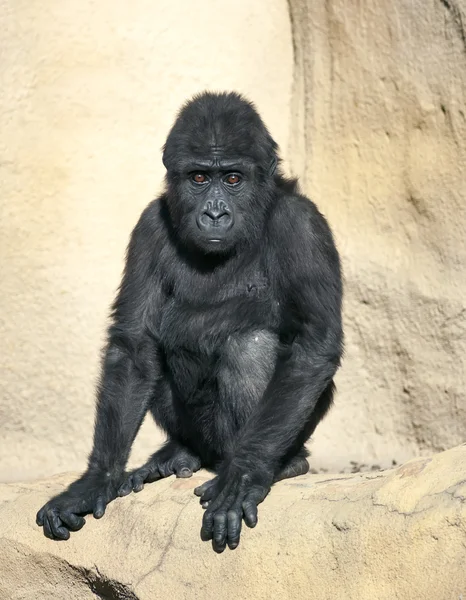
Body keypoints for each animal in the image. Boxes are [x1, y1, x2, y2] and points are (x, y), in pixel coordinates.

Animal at [37, 91, 342, 556]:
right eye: (199, 178)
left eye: (232, 179)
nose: (215, 213)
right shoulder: (148, 227)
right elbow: (135, 344)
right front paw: (96, 480)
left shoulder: (303, 227)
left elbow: (313, 341)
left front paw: (245, 475)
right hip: (200, 437)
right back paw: (178, 454)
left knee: (249, 346)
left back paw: (279, 464)